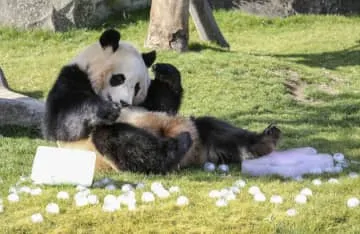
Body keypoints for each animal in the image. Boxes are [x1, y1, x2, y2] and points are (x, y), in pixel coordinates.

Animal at [43, 28, 191, 174]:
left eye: (137, 87)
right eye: (119, 78)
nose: (124, 103)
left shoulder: (148, 101)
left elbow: (164, 104)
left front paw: (166, 72)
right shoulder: (71, 77)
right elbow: (60, 122)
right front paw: (106, 110)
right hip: (95, 150)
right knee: (116, 139)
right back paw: (178, 146)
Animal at [100, 61, 282, 168]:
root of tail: (197, 154)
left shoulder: (145, 105)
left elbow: (161, 103)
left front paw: (165, 72)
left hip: (197, 129)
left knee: (217, 128)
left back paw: (266, 139)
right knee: (129, 147)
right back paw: (178, 144)